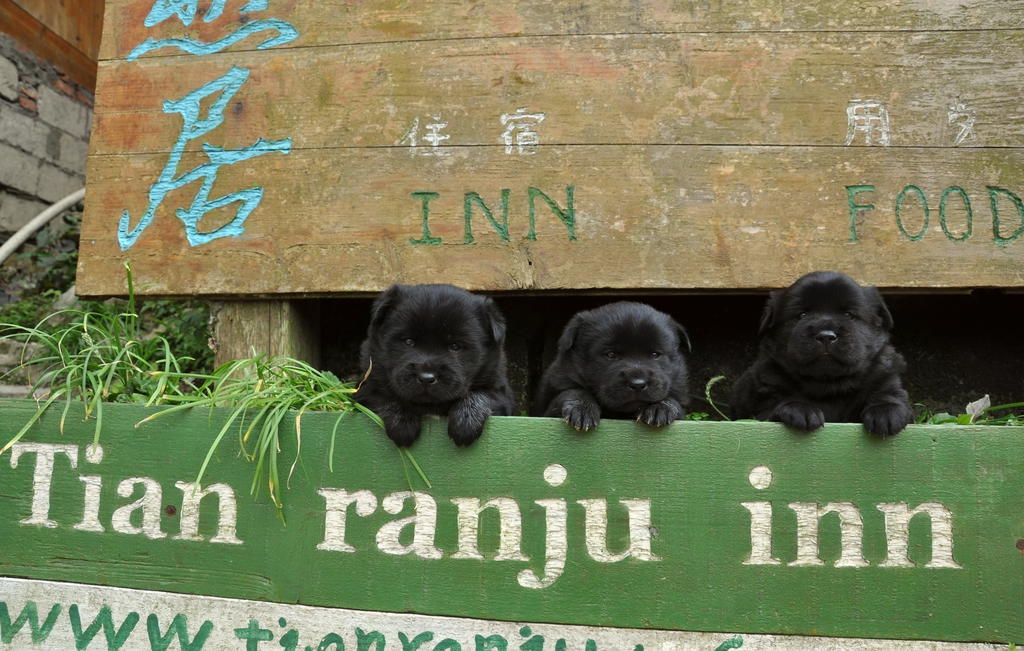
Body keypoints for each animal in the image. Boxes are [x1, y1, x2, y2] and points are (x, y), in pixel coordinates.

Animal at [356, 282, 516, 444]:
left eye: (455, 346)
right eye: (409, 341)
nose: (426, 378)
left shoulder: (501, 393)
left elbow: (482, 395)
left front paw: (466, 422)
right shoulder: (366, 388)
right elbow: (383, 396)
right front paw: (402, 423)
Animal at [536, 302, 688, 431]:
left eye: (655, 354)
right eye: (611, 354)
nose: (638, 384)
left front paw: (659, 407)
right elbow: (572, 391)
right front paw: (582, 408)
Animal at [733, 270, 909, 438]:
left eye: (849, 314)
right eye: (802, 315)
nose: (826, 335)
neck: (829, 386)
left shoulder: (884, 376)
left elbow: (888, 394)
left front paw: (886, 412)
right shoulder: (767, 396)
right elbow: (777, 402)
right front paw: (800, 410)